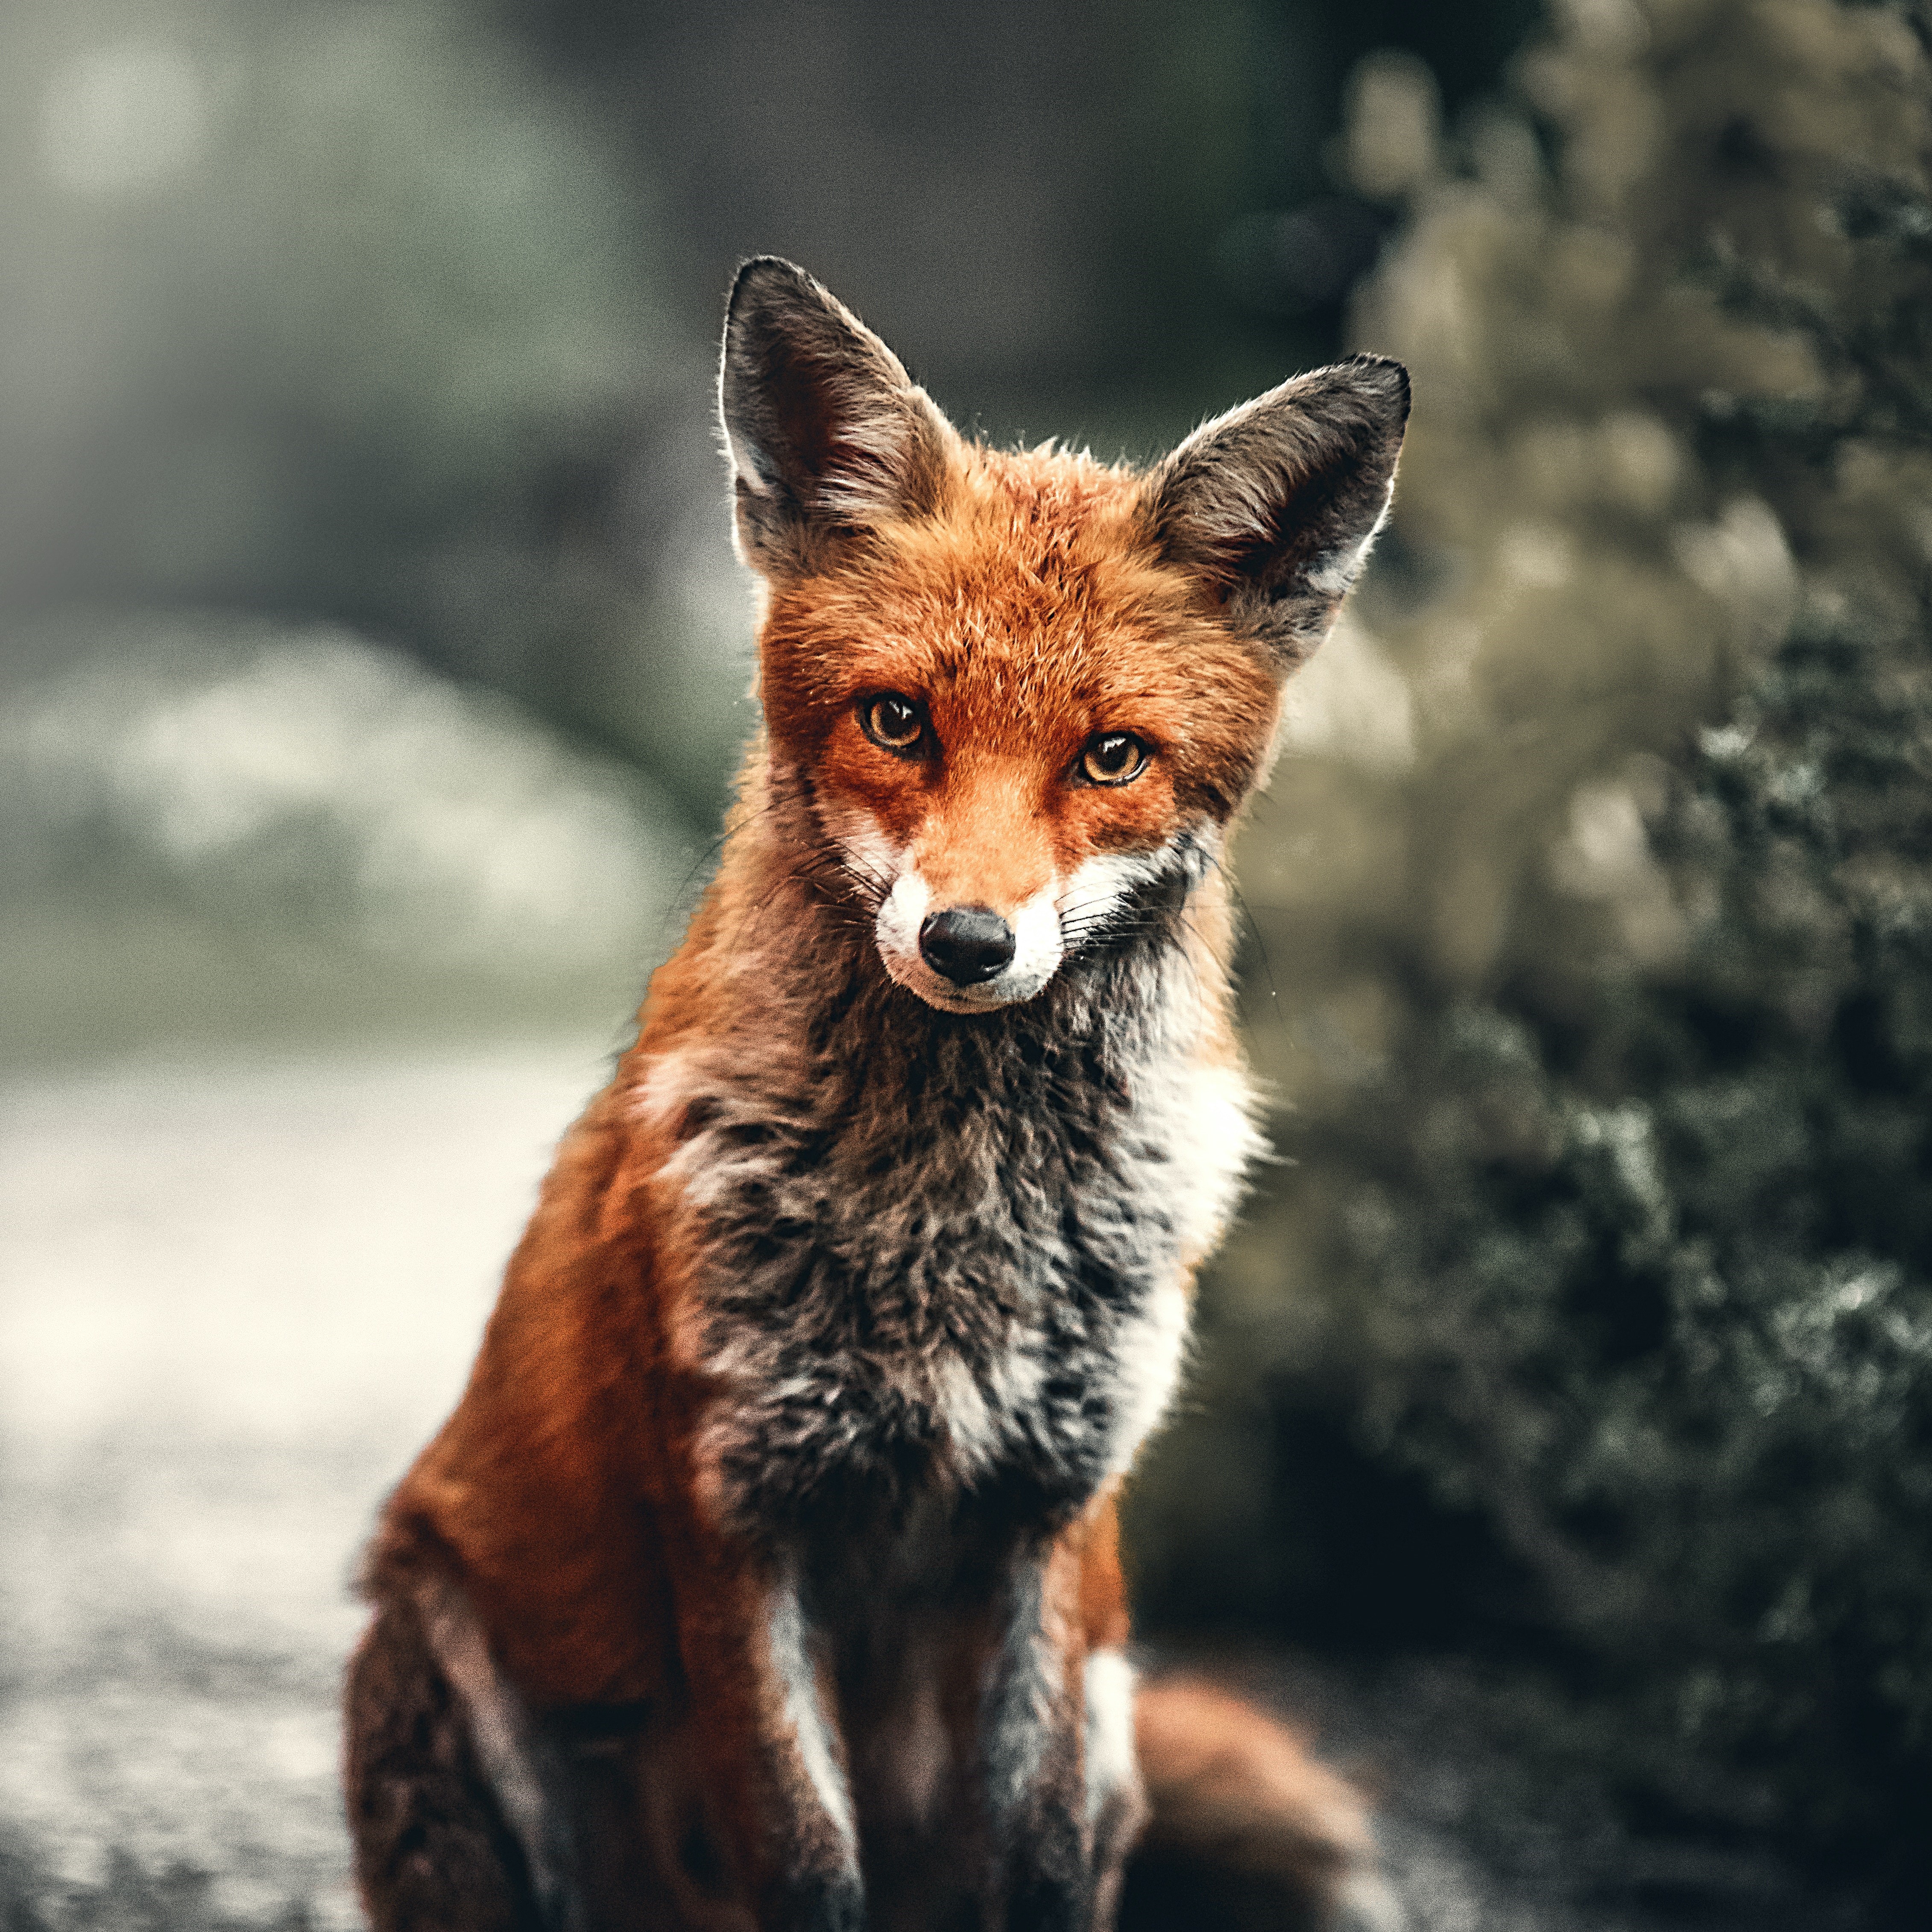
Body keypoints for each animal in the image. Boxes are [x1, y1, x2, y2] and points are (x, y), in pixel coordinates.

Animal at [343, 257, 1409, 1932]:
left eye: (1112, 756)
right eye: (897, 720)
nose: (968, 942)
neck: (953, 1220)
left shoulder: (1051, 1513)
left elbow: (1040, 1856)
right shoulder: (735, 1510)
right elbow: (801, 1853)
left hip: (1113, 1702)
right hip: (449, 1681)